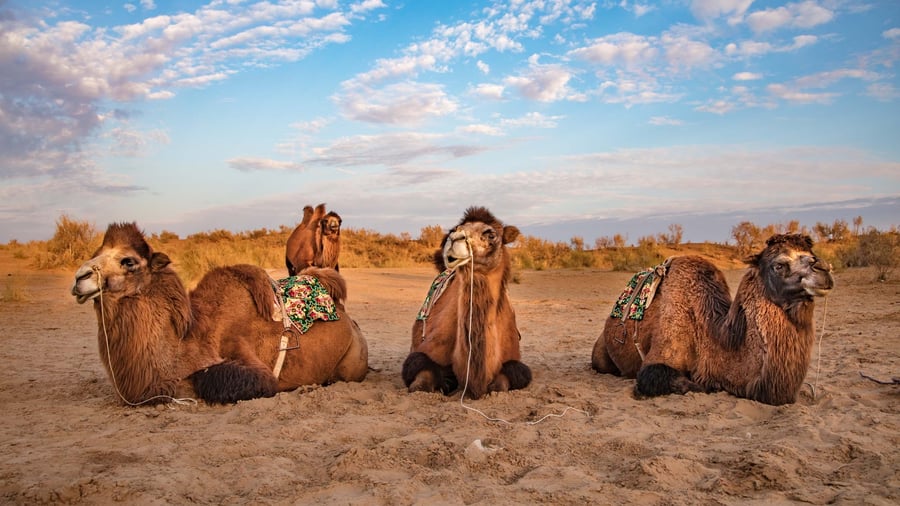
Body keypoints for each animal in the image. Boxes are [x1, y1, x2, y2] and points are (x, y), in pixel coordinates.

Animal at [71, 222, 368, 405]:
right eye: (96, 252)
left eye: (128, 261)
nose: (79, 278)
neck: (187, 339)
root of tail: (351, 322)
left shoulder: (250, 362)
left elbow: (215, 378)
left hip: (352, 363)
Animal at [401, 206, 531, 399]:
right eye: (455, 229)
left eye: (491, 234)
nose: (455, 238)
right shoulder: (422, 355)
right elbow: (419, 384)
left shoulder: (514, 364)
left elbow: (500, 386)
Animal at [591, 234, 834, 405]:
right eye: (779, 264)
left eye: (810, 252)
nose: (824, 268)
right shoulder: (659, 358)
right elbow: (692, 384)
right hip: (601, 356)